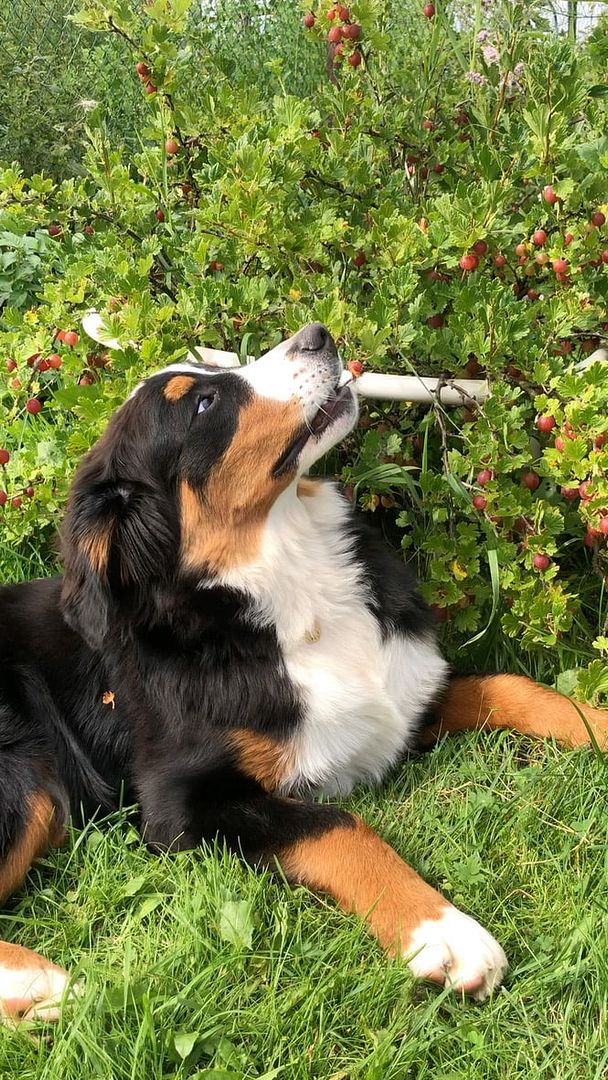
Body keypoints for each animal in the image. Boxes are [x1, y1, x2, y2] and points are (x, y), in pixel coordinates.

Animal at [1, 321, 608, 1019]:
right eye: (203, 404)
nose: (318, 335)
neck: (294, 591)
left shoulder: (404, 695)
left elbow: (516, 687)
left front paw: (599, 724)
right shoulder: (181, 804)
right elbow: (338, 824)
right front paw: (443, 931)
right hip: (24, 777)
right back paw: (42, 982)